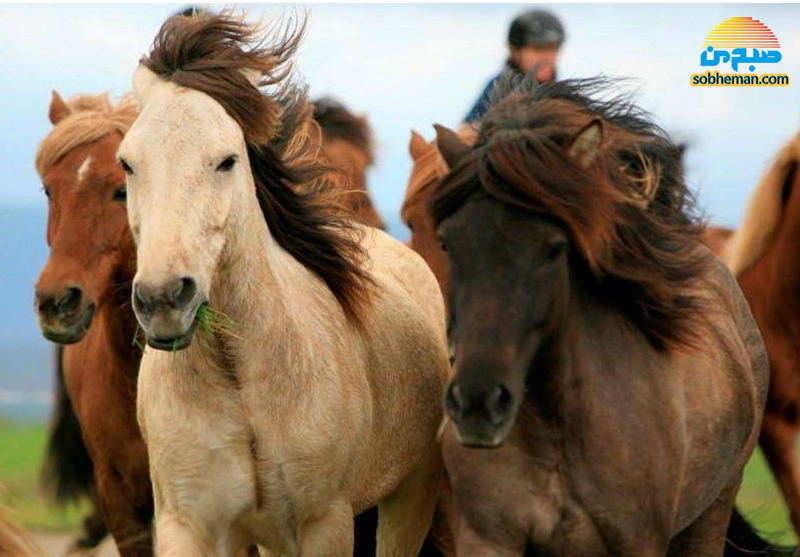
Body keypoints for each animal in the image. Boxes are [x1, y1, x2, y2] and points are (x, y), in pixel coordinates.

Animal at [432, 78, 776, 556]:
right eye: (448, 243)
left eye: (554, 249)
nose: (478, 403)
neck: (554, 436)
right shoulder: (488, 538)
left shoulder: (638, 542)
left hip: (710, 516)